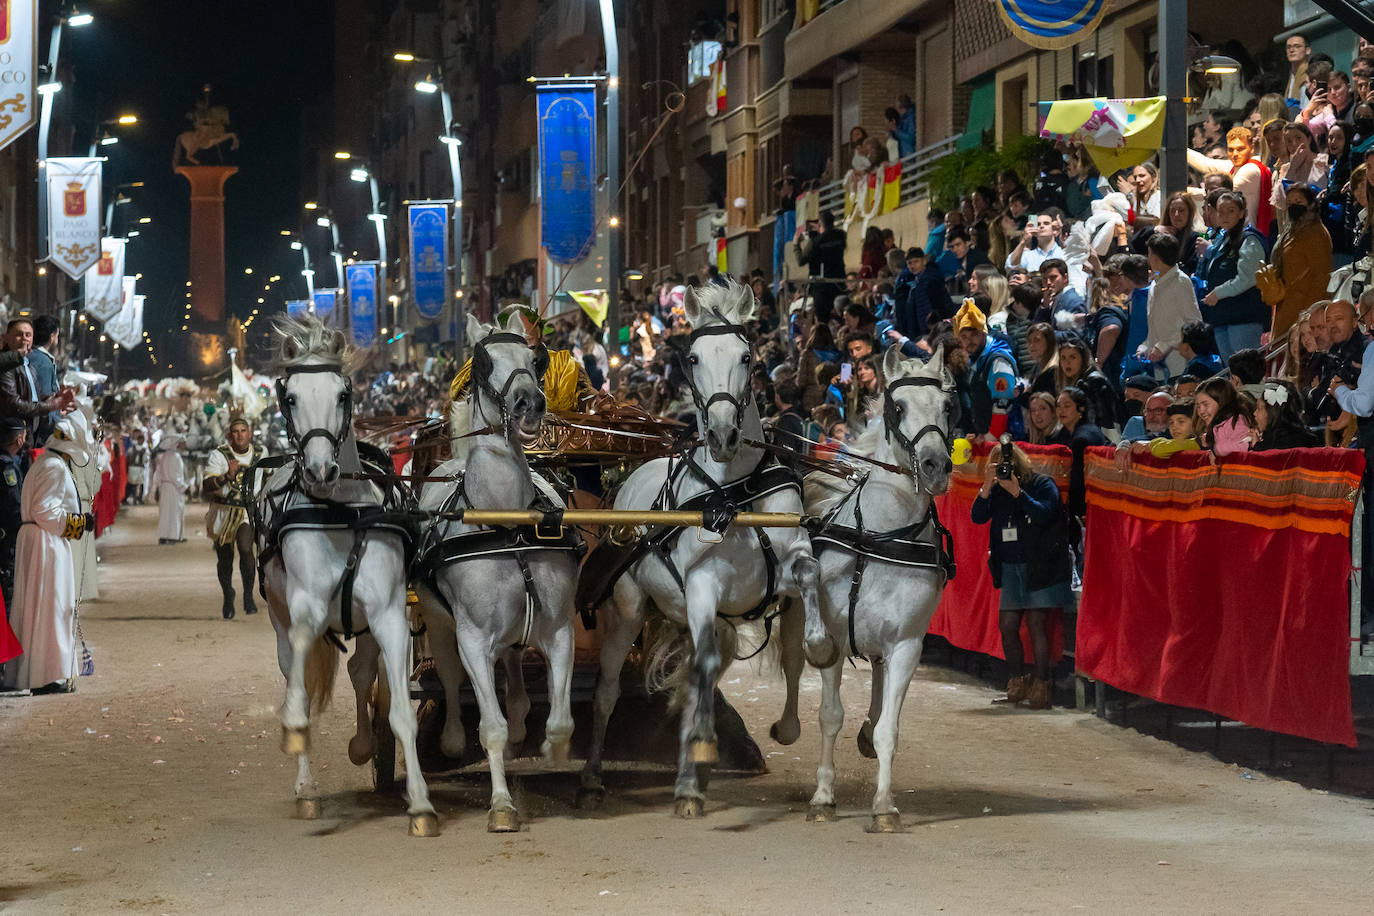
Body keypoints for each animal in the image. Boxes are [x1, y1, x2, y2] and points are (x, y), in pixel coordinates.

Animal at [252, 315, 434, 840]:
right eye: (290, 397)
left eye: (342, 393)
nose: (320, 469)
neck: (340, 513)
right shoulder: (306, 608)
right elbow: (300, 686)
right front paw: (296, 732)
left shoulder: (389, 614)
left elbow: (399, 711)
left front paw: (420, 804)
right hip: (278, 618)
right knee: (293, 672)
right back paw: (306, 789)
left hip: (366, 626)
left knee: (362, 672)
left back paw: (362, 744)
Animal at [406, 313, 579, 829]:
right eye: (483, 363)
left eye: (536, 359)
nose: (528, 404)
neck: (507, 525)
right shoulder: (472, 637)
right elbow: (491, 728)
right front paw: (502, 805)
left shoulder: (559, 629)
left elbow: (560, 719)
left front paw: (552, 751)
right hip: (440, 624)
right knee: (448, 676)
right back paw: (451, 738)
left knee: (514, 668)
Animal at [579, 280, 835, 818]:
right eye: (693, 358)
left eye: (748, 356)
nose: (720, 434)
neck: (733, 494)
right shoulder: (701, 587)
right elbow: (696, 673)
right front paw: (693, 764)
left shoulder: (789, 561)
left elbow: (806, 587)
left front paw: (815, 656)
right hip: (630, 609)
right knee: (610, 690)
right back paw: (594, 777)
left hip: (715, 623)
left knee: (700, 675)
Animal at [802, 341, 956, 829]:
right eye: (898, 406)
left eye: (948, 406)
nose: (935, 466)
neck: (882, 537)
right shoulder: (831, 636)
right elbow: (829, 716)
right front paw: (822, 797)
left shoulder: (907, 644)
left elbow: (890, 725)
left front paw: (885, 806)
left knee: (877, 676)